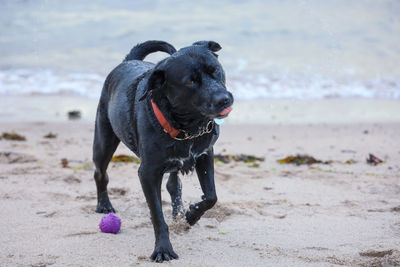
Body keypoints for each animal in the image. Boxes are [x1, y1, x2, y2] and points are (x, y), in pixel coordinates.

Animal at [92, 40, 233, 264]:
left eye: (215, 70)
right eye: (190, 81)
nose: (224, 100)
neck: (188, 127)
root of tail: (129, 60)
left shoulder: (205, 155)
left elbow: (211, 196)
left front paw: (190, 215)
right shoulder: (148, 173)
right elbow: (157, 216)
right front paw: (163, 248)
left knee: (173, 185)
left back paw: (178, 212)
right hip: (104, 140)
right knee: (100, 173)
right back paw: (104, 204)